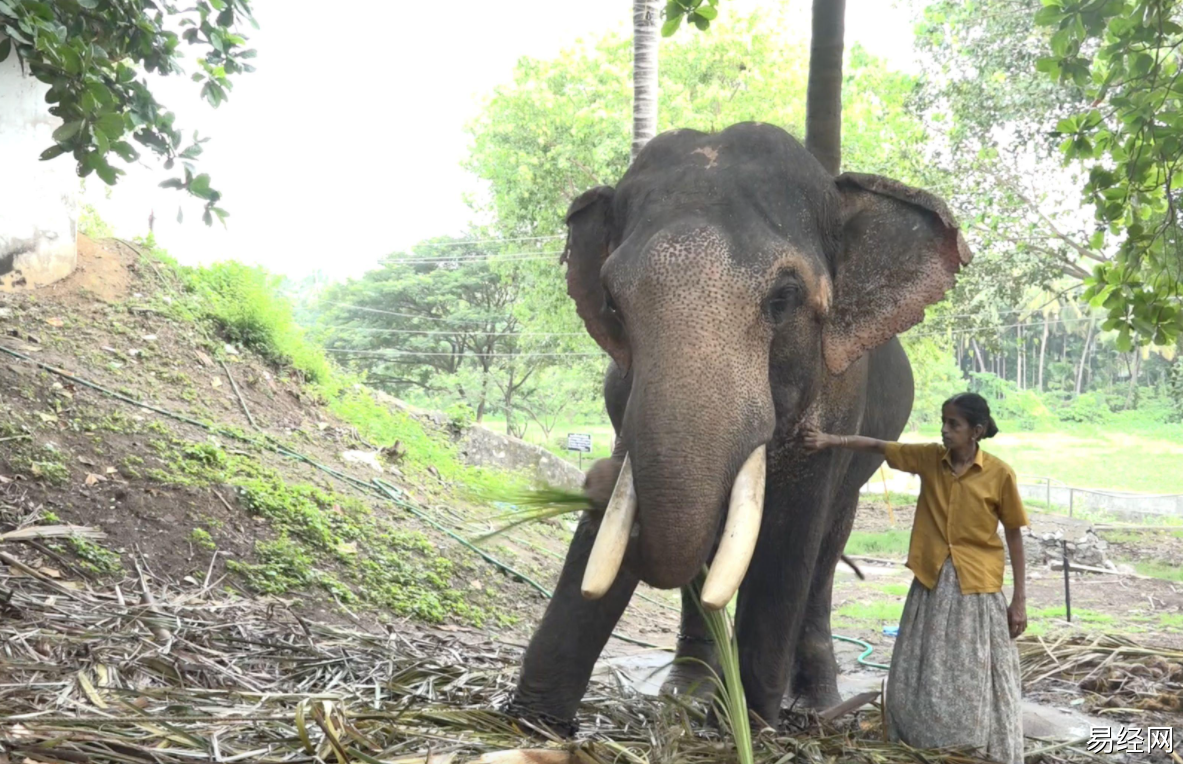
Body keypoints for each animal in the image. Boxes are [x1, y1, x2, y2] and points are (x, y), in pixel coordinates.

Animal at [503, 122, 974, 733]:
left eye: (784, 297)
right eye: (611, 303)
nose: (597, 478)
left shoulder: (838, 400)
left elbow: (789, 538)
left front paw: (747, 725)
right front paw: (535, 724)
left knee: (826, 550)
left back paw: (813, 703)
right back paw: (689, 691)